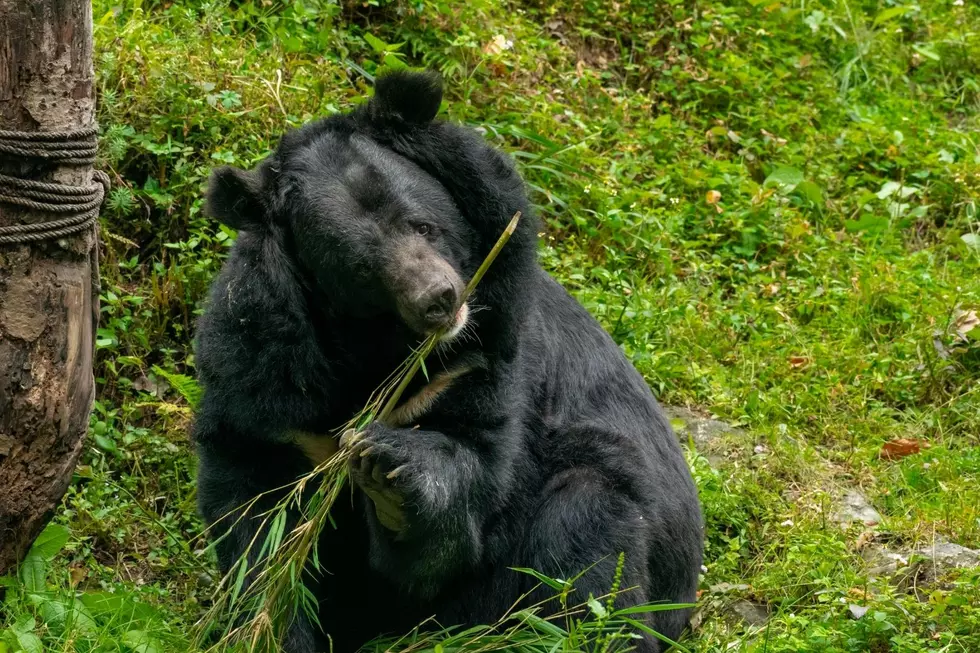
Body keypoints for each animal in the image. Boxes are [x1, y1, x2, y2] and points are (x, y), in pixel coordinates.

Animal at [192, 69, 703, 653]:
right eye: (362, 269)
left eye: (422, 225)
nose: (439, 298)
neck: (380, 353)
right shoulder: (263, 376)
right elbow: (256, 518)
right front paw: (268, 627)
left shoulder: (485, 357)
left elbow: (474, 476)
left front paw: (390, 466)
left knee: (588, 542)